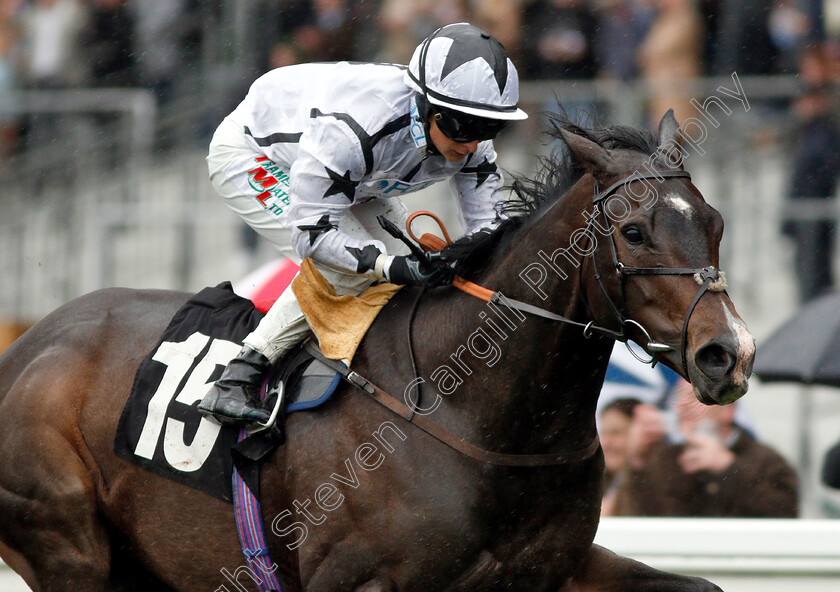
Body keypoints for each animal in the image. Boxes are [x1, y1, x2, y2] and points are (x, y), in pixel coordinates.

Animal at [0, 112, 756, 592]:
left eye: (716, 223)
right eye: (633, 232)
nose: (729, 354)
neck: (475, 415)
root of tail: (27, 345)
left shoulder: (552, 569)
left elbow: (704, 587)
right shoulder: (355, 580)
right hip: (69, 546)